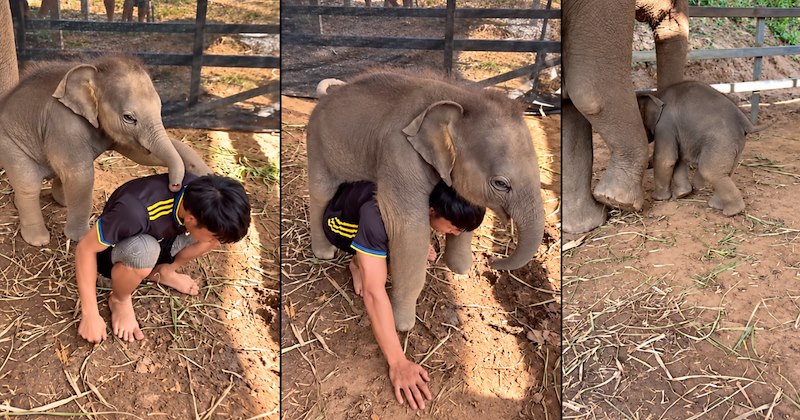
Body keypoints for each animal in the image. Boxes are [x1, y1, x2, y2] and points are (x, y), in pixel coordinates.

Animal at [0, 55, 212, 246]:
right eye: (128, 117)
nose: (174, 186)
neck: (94, 68)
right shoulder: (63, 124)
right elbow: (80, 175)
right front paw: (81, 238)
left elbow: (140, 154)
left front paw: (207, 174)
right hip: (9, 145)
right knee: (28, 185)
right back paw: (39, 240)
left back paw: (63, 203)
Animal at [306, 70, 545, 331]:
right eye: (501, 183)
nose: (493, 261)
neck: (462, 97)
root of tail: (328, 93)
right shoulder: (399, 154)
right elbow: (409, 231)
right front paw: (402, 325)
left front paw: (460, 270)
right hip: (317, 143)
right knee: (322, 192)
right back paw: (325, 253)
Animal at [638, 81, 763, 216]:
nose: (647, 164)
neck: (656, 93)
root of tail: (746, 123)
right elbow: (680, 158)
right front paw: (682, 194)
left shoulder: (665, 125)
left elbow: (666, 159)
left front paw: (658, 198)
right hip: (737, 145)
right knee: (726, 172)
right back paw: (717, 206)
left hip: (722, 142)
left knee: (709, 171)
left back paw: (731, 212)